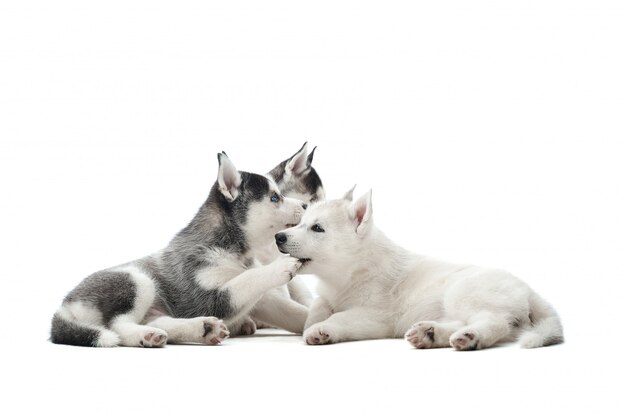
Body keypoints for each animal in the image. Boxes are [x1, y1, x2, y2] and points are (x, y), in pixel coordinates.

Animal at [52, 152, 306, 348]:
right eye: (275, 198)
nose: (305, 205)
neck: (234, 253)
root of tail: (65, 303)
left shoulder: (263, 301)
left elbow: (292, 310)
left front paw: (313, 321)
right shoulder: (206, 297)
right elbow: (249, 278)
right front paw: (281, 266)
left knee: (156, 321)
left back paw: (203, 328)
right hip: (138, 280)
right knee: (118, 325)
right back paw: (146, 335)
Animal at [276, 189, 564, 350]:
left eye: (317, 228)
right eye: (300, 223)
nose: (278, 237)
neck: (351, 272)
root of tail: (530, 291)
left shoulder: (376, 316)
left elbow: (339, 317)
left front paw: (321, 330)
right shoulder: (326, 295)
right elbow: (318, 308)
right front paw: (314, 322)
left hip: (464, 292)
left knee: (496, 322)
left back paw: (470, 337)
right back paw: (431, 334)